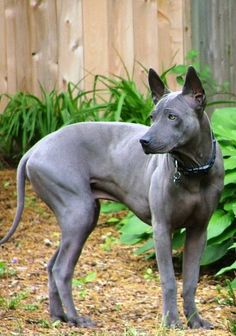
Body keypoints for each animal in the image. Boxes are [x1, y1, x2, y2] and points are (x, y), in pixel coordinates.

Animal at [0, 67, 224, 330]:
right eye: (152, 117)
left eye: (172, 117)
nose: (144, 141)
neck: (193, 170)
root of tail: (34, 150)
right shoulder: (162, 228)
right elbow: (169, 279)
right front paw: (171, 321)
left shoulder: (199, 230)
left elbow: (190, 281)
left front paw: (194, 320)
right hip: (80, 213)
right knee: (62, 269)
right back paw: (77, 318)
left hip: (80, 218)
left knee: (52, 265)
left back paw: (59, 316)